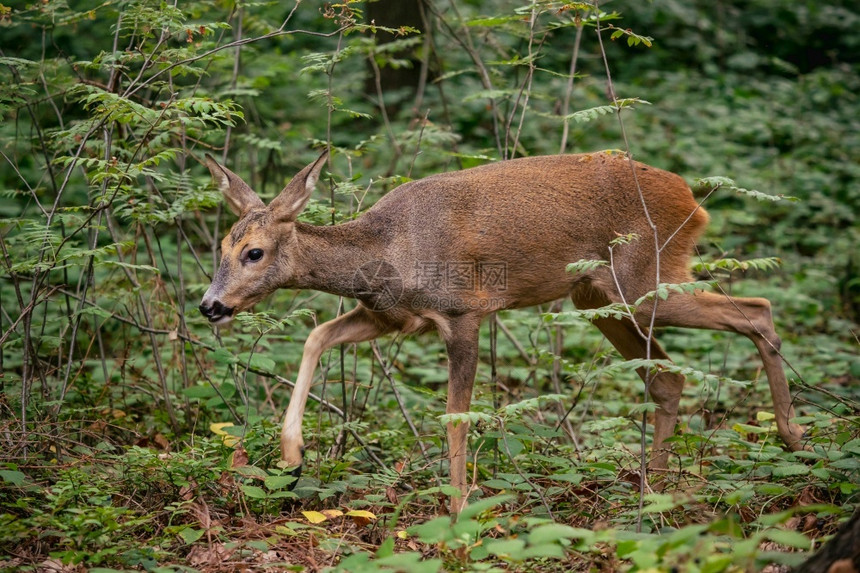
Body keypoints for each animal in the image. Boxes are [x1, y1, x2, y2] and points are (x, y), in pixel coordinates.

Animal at [200, 147, 808, 510]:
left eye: (254, 252)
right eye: (220, 248)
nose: (210, 305)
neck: (387, 251)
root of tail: (690, 199)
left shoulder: (462, 311)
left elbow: (455, 418)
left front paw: (458, 511)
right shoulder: (389, 315)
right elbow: (314, 337)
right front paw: (291, 456)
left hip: (644, 280)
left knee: (757, 308)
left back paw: (792, 436)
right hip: (598, 298)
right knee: (667, 376)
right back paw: (655, 486)